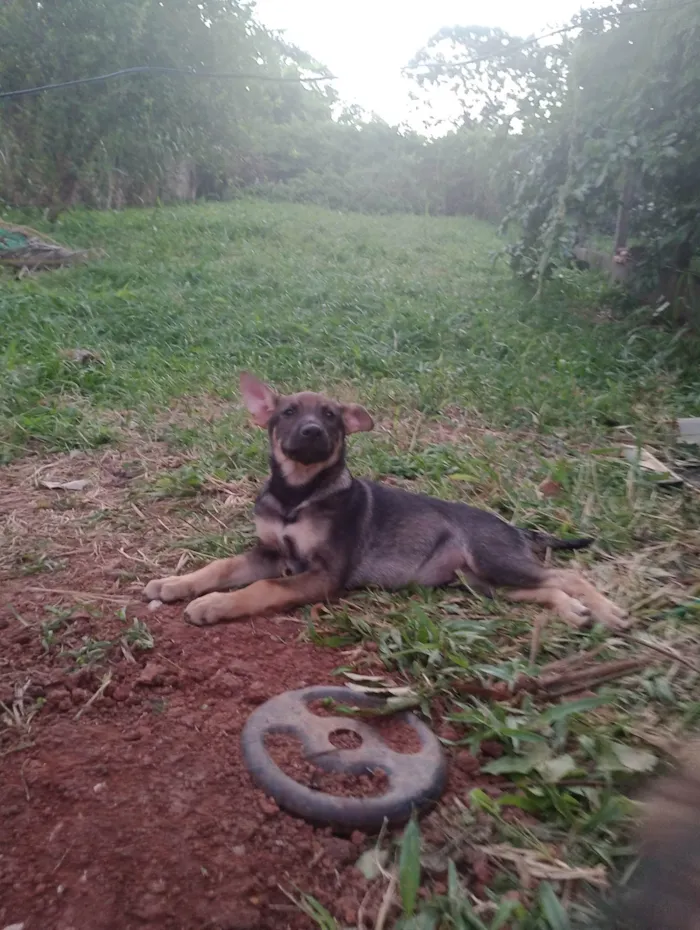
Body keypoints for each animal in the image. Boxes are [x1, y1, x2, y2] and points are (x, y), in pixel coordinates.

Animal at [144, 374, 628, 628]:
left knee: (567, 574)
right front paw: (175, 583)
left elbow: (262, 588)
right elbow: (221, 567)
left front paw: (213, 605)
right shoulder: (270, 552)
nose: (312, 432)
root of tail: (513, 527)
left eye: (330, 416)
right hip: (482, 581)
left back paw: (607, 609)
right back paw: (574, 611)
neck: (297, 495)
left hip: (494, 560)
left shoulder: (322, 575)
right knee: (546, 587)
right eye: (288, 413)